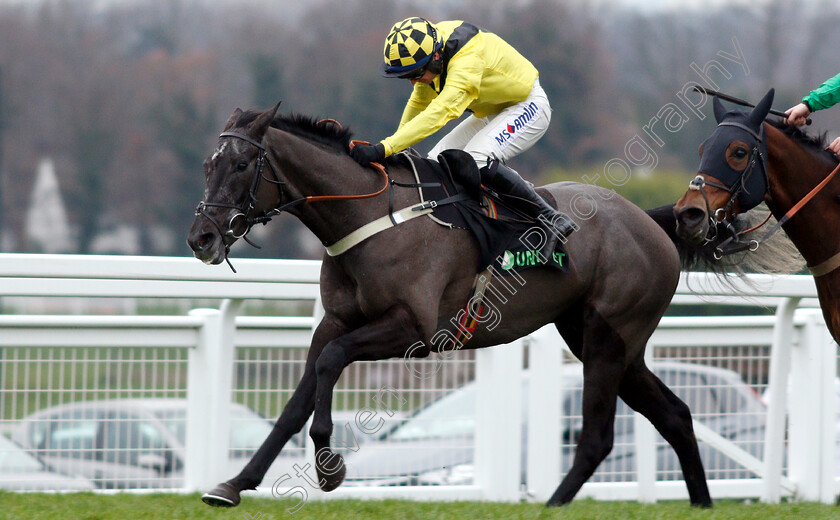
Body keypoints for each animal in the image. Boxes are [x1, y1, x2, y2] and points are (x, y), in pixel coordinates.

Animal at [187, 104, 720, 508]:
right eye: (208, 165)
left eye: (241, 165)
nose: (201, 238)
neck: (369, 216)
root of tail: (651, 222)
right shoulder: (335, 321)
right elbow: (297, 401)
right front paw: (234, 484)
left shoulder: (415, 330)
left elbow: (332, 362)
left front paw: (329, 467)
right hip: (605, 340)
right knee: (674, 414)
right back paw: (700, 502)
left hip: (609, 337)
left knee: (597, 437)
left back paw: (551, 506)